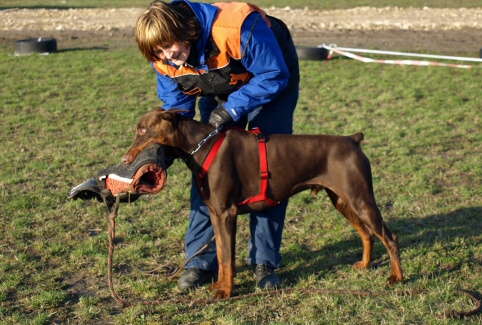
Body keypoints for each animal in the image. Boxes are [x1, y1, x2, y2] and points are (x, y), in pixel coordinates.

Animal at [121, 107, 402, 298]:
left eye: (143, 130)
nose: (125, 159)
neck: (202, 145)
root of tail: (352, 139)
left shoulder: (226, 213)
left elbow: (228, 258)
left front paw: (226, 291)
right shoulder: (215, 213)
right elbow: (221, 254)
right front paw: (219, 285)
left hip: (360, 198)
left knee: (389, 237)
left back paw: (396, 277)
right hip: (343, 201)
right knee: (367, 234)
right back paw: (364, 264)